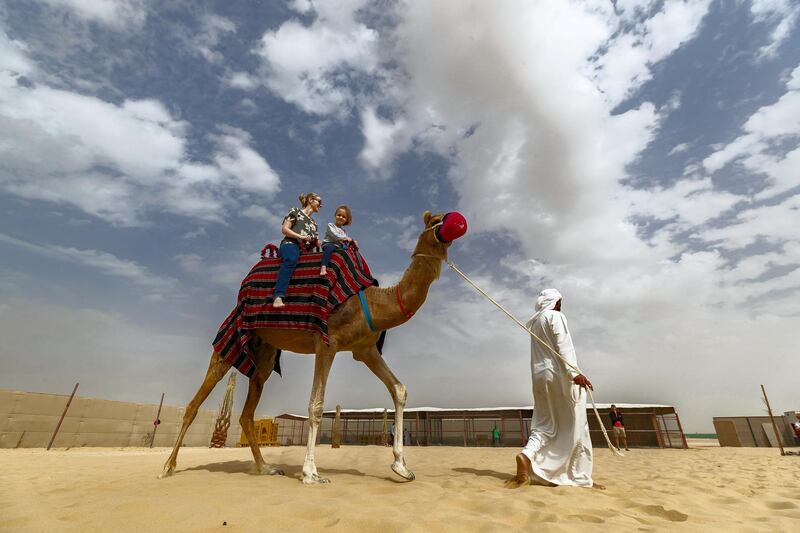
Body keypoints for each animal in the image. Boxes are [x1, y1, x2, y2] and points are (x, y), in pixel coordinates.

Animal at [159, 210, 466, 484]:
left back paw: (266, 468)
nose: (459, 221)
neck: (373, 302)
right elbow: (316, 404)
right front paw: (311, 473)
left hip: (265, 353)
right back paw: (167, 467)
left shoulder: (364, 350)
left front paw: (402, 467)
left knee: (248, 412)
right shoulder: (327, 343)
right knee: (197, 400)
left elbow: (399, 389)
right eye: (436, 220)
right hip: (232, 335)